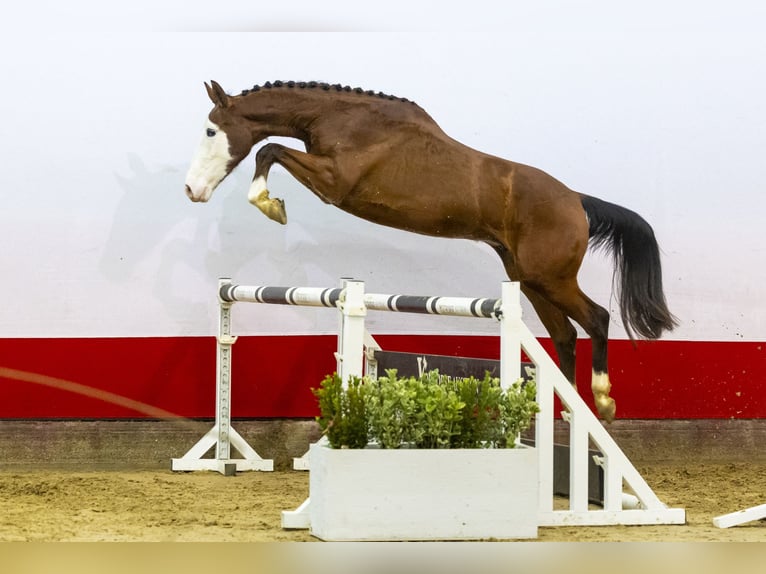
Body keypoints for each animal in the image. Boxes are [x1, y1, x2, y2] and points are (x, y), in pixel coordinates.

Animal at [186, 81, 680, 424]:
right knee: (564, 336)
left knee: (597, 318)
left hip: (550, 278)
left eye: (211, 130)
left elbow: (269, 149)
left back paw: (603, 399)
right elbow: (270, 151)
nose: (192, 191)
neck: (341, 119)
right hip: (530, 281)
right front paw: (272, 205)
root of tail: (575, 199)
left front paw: (272, 207)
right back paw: (568, 409)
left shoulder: (335, 183)